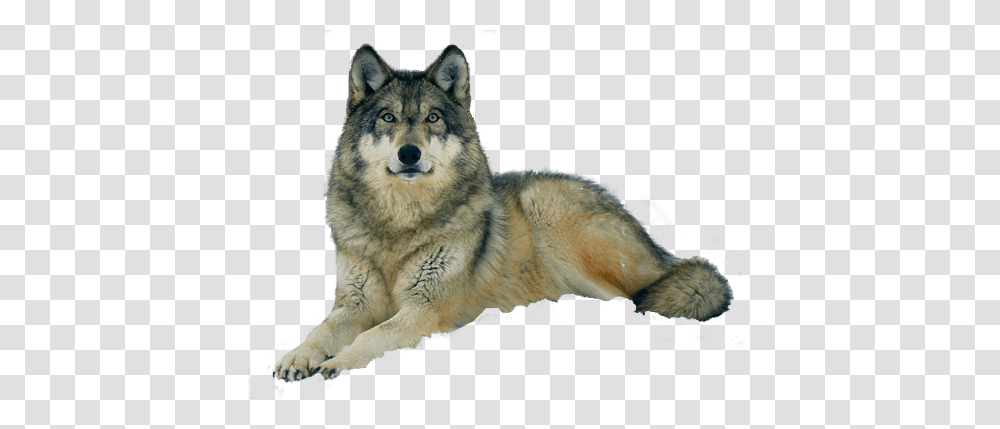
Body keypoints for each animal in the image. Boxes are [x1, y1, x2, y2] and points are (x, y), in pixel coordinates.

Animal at [273, 45, 733, 381]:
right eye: (388, 117)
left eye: (432, 118)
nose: (409, 153)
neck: (401, 223)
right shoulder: (354, 303)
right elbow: (322, 329)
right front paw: (298, 357)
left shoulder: (425, 308)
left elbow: (374, 336)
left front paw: (337, 362)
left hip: (548, 212)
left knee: (635, 295)